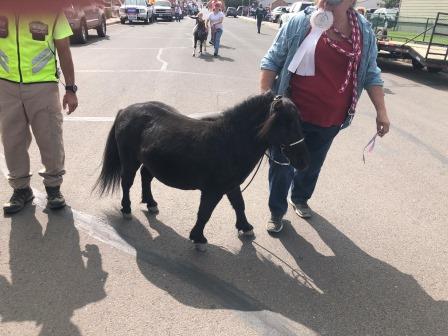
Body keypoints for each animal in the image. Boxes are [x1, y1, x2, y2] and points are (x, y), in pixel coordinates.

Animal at [96, 91, 310, 249]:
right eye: (287, 123)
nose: (304, 161)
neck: (230, 140)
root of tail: (126, 110)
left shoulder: (231, 185)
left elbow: (239, 205)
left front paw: (245, 227)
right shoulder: (213, 190)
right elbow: (205, 213)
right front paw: (198, 238)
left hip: (150, 162)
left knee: (145, 177)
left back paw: (151, 203)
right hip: (129, 160)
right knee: (126, 182)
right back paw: (126, 209)